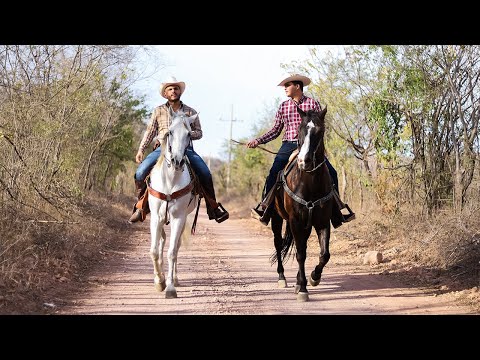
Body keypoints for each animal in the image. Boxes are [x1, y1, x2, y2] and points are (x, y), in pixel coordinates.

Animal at [146, 109, 199, 298]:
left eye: (189, 134)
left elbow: (172, 252)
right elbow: (154, 250)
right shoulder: (156, 217)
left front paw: (169, 287)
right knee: (161, 242)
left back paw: (174, 279)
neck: (170, 180)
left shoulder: (178, 218)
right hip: (161, 220)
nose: (177, 161)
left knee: (175, 246)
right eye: (170, 132)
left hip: (182, 220)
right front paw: (159, 281)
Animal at [270, 105, 334, 302]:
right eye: (300, 129)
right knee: (278, 243)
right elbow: (300, 254)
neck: (309, 182)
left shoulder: (322, 221)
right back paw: (282, 278)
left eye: (320, 131)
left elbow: (324, 254)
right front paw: (303, 289)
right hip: (277, 219)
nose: (303, 161)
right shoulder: (295, 221)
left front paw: (313, 278)